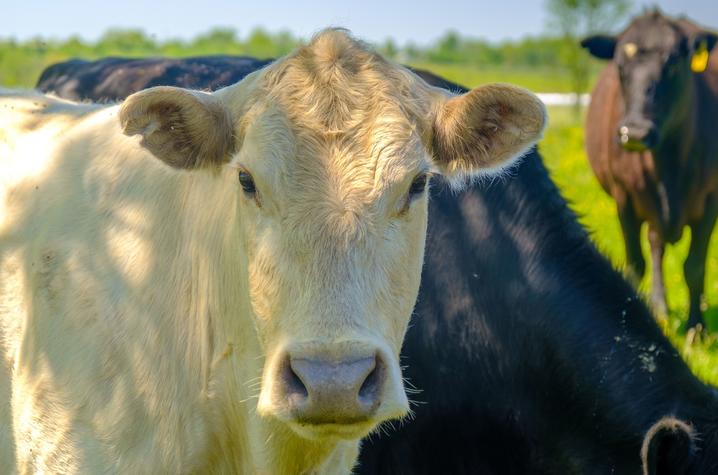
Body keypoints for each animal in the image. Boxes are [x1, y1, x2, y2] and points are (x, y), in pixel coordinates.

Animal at [582, 11, 718, 329]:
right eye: (619, 65)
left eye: (673, 63)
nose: (635, 132)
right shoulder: (625, 197)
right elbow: (635, 263)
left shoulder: (711, 199)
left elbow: (695, 265)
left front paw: (696, 326)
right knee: (655, 246)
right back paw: (660, 306)